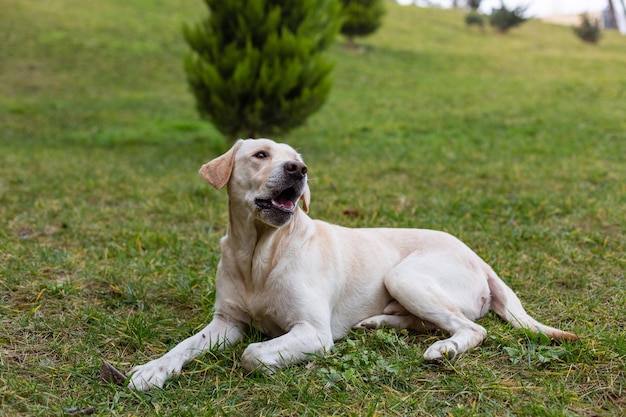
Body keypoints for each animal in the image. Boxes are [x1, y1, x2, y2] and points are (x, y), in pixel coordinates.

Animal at [128, 139, 576, 390]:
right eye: (260, 155)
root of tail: (479, 258)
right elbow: (183, 346)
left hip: (404, 275)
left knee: (471, 328)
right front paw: (152, 371)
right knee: (430, 321)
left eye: (298, 160)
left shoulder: (313, 332)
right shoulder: (226, 322)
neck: (259, 255)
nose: (299, 170)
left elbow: (253, 354)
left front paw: (272, 364)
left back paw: (443, 349)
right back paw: (378, 323)